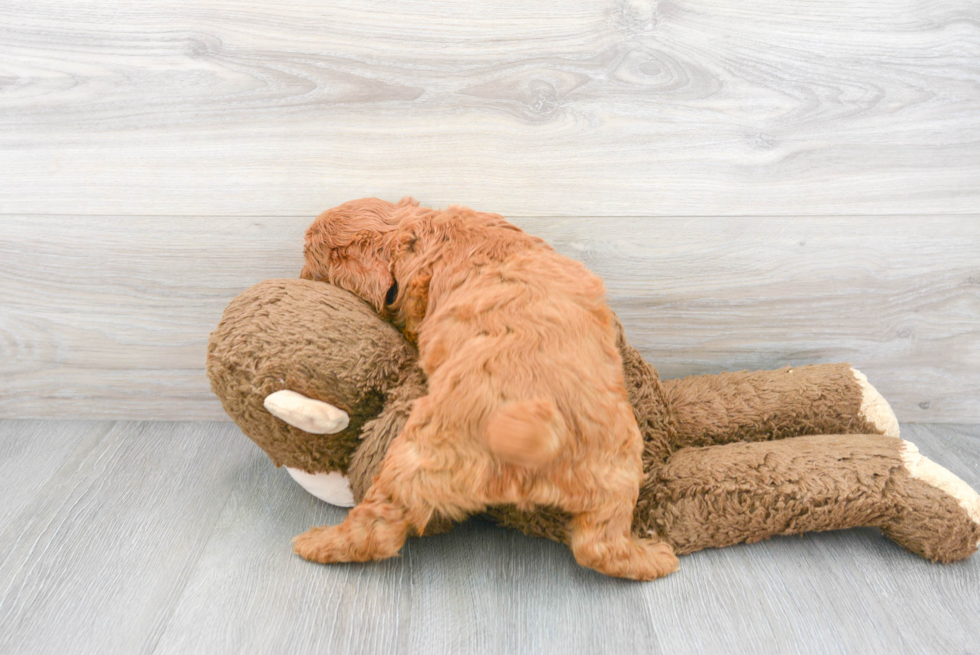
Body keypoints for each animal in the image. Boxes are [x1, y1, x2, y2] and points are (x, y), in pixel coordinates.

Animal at [290, 197, 676, 580]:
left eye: (310, 257)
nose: (298, 278)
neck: (413, 229)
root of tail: (531, 435)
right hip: (619, 466)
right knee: (600, 544)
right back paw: (654, 558)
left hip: (415, 459)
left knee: (376, 528)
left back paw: (316, 543)